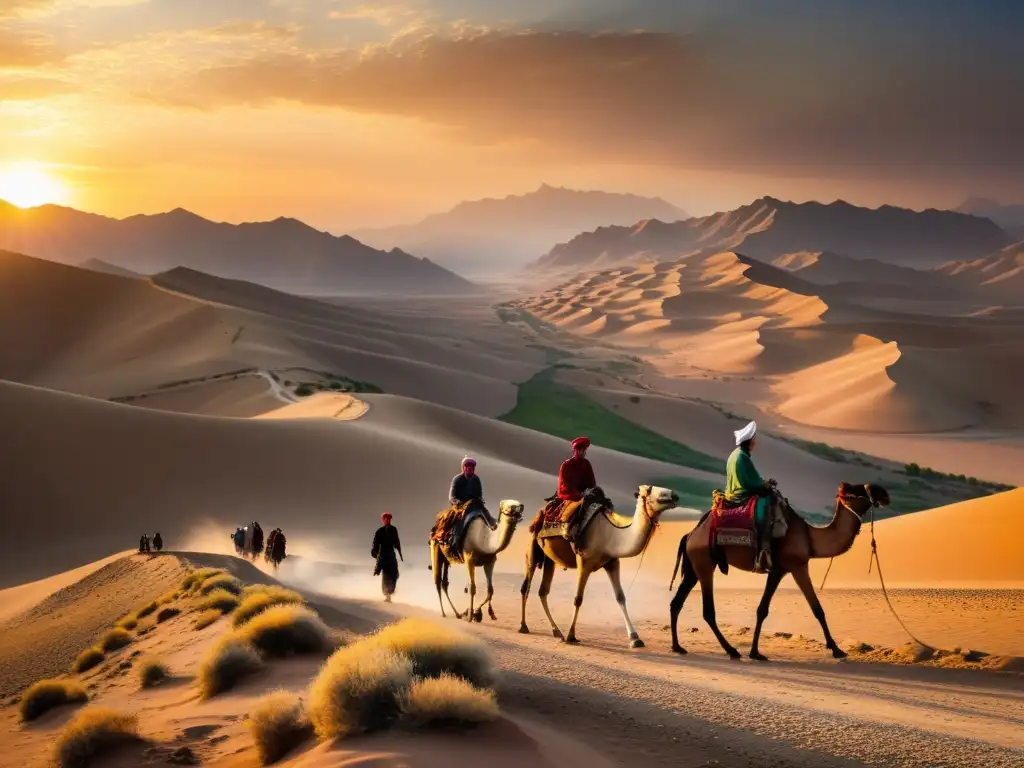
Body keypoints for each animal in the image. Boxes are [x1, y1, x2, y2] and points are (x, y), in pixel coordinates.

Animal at [520, 487, 679, 651]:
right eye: (652, 491)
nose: (675, 496)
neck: (611, 534)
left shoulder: (612, 562)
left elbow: (620, 597)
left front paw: (635, 638)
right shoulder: (583, 562)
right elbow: (578, 599)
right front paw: (571, 635)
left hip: (549, 559)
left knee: (542, 591)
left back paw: (556, 631)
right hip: (533, 549)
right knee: (526, 587)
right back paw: (524, 626)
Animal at [667, 487, 892, 663]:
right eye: (859, 489)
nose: (885, 494)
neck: (810, 538)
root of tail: (690, 534)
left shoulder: (784, 569)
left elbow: (768, 609)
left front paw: (755, 652)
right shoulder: (793, 566)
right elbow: (813, 609)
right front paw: (837, 650)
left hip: (695, 566)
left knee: (676, 603)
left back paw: (678, 647)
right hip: (704, 562)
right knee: (707, 611)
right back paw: (731, 650)